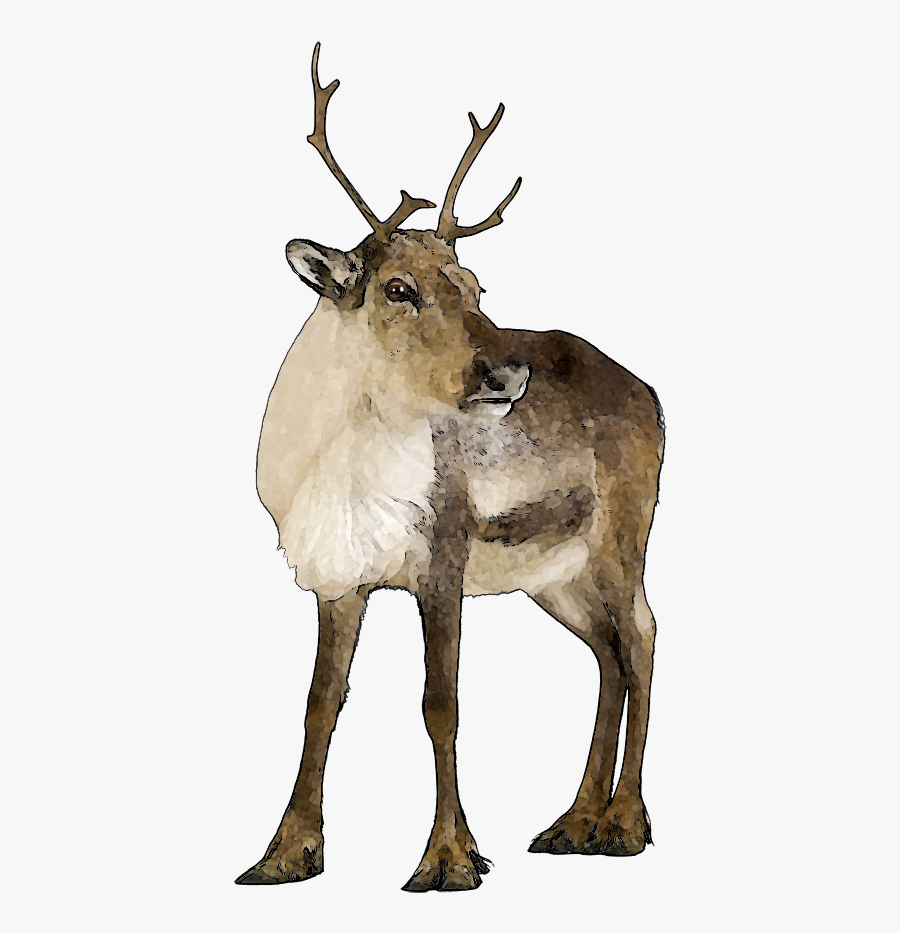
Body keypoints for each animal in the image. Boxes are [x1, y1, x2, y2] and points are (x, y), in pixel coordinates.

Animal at [235, 43, 664, 893]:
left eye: (475, 285)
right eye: (397, 287)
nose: (507, 371)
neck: (330, 474)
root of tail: (649, 390)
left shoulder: (444, 553)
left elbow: (442, 702)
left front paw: (449, 859)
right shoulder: (339, 578)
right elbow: (319, 702)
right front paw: (286, 852)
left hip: (621, 538)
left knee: (641, 635)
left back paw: (625, 824)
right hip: (552, 573)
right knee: (604, 651)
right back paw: (572, 823)